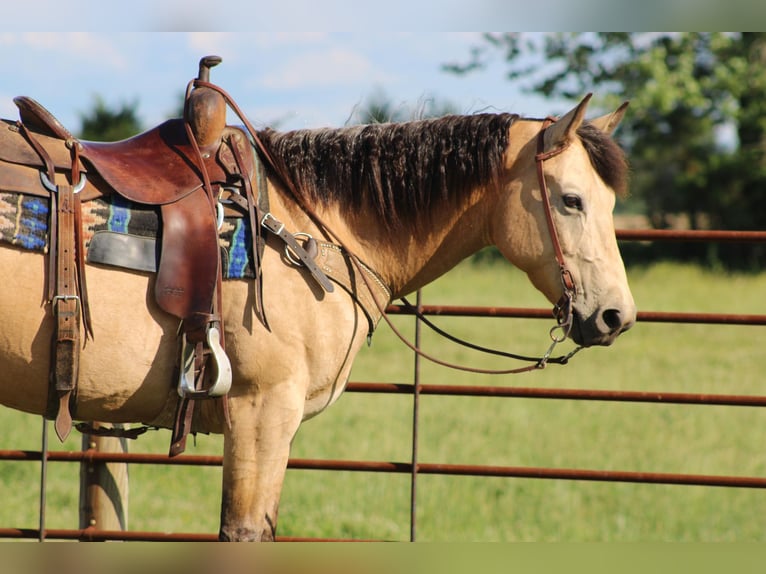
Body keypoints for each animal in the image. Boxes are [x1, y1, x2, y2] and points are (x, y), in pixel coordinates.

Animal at [0, 91, 636, 541]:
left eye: (609, 203)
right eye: (571, 200)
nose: (616, 316)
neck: (311, 231)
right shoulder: (262, 412)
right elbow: (245, 532)